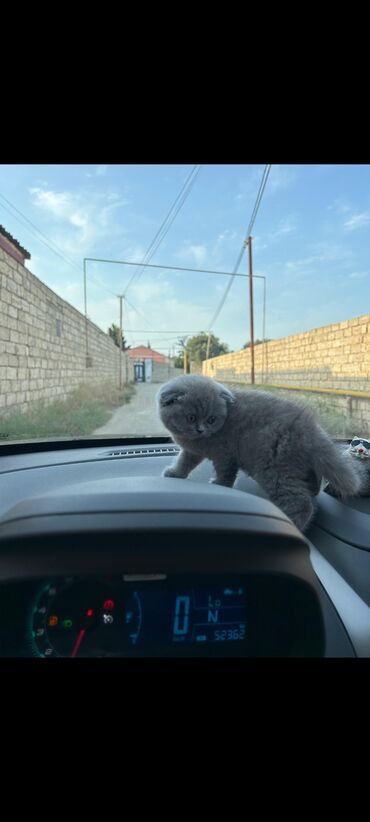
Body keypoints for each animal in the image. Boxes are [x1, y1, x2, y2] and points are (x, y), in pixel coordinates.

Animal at [157, 374, 362, 536]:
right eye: (191, 418)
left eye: (211, 419)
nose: (201, 429)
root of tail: (309, 428)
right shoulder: (193, 451)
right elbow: (185, 461)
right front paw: (175, 473)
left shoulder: (225, 454)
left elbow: (225, 474)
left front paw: (219, 485)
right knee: (312, 488)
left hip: (273, 468)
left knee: (302, 503)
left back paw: (291, 524)